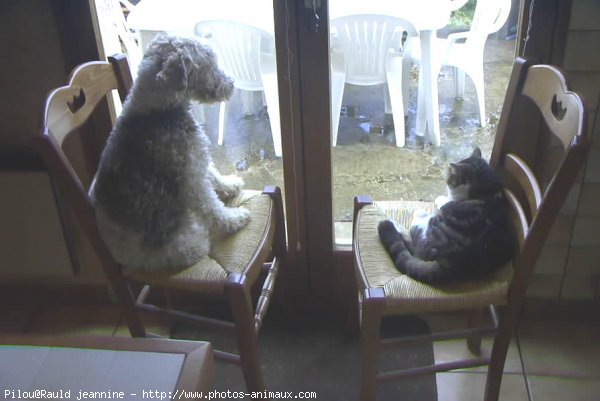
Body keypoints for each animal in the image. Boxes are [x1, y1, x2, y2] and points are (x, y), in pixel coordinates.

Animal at [90, 35, 250, 272]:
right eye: (207, 63)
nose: (230, 83)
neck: (158, 109)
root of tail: (122, 261)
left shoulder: (195, 158)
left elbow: (213, 174)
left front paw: (230, 186)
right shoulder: (191, 180)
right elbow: (212, 207)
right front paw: (234, 219)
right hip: (182, 244)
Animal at [380, 148, 516, 284]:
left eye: (450, 179)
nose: (446, 183)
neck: (488, 193)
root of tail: (454, 265)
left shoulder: (449, 203)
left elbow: (442, 201)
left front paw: (440, 198)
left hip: (429, 229)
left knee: (414, 233)